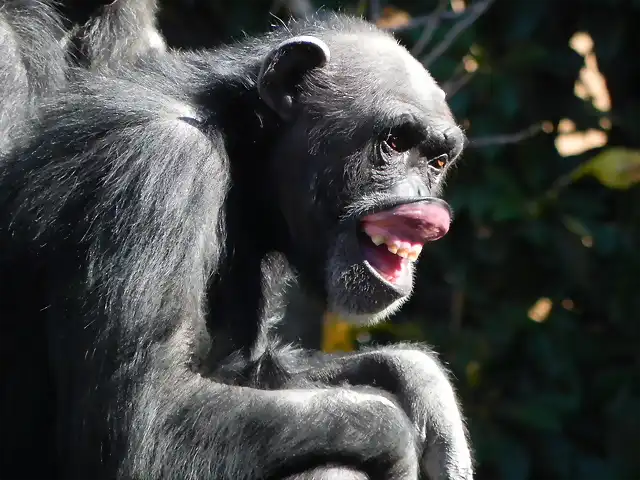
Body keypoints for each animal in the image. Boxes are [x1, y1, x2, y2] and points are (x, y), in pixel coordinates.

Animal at [0, 0, 470, 480]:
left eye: (436, 160)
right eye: (394, 141)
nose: (424, 207)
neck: (240, 141)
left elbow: (255, 372)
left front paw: (419, 379)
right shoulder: (160, 166)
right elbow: (149, 426)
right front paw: (397, 432)